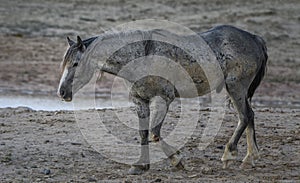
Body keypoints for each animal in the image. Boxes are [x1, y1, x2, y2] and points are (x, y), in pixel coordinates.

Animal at [58, 24, 268, 174]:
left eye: (76, 63)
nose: (61, 92)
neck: (143, 55)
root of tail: (255, 39)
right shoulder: (140, 101)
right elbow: (143, 133)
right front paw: (140, 166)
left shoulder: (163, 100)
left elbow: (154, 133)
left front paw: (177, 160)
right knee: (250, 116)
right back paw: (249, 158)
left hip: (235, 87)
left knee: (244, 116)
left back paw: (229, 155)